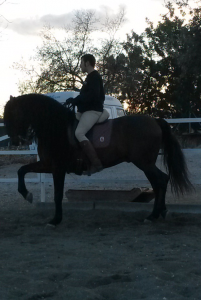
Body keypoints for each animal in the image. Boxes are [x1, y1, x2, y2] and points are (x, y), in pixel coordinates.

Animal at [2, 94, 192, 225]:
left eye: (13, 113)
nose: (15, 140)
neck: (55, 127)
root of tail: (154, 121)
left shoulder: (57, 168)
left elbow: (57, 195)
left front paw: (55, 220)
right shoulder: (48, 165)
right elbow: (21, 170)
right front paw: (27, 194)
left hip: (144, 163)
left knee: (161, 180)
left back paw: (153, 215)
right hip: (146, 164)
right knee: (159, 182)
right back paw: (159, 213)